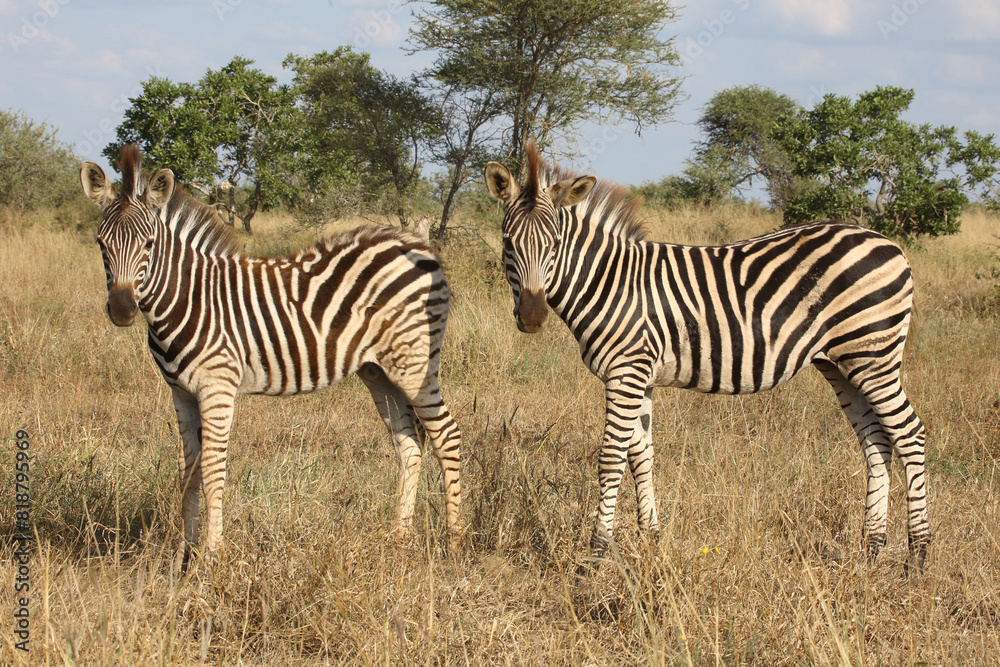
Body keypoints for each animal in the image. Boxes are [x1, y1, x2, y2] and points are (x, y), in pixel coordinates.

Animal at [81, 145, 462, 570]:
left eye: (148, 244)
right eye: (100, 243)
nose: (121, 310)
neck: (187, 298)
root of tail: (417, 245)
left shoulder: (217, 387)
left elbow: (213, 471)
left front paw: (211, 557)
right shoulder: (180, 393)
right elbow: (188, 472)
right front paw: (183, 557)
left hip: (415, 363)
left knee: (447, 435)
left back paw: (454, 542)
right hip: (378, 370)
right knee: (409, 444)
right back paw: (400, 536)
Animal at [484, 143, 930, 571]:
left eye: (555, 245)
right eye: (508, 243)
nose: (532, 317)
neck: (609, 281)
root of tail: (888, 242)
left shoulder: (625, 371)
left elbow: (611, 458)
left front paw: (595, 555)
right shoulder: (641, 375)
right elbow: (642, 456)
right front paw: (651, 541)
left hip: (873, 355)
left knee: (909, 433)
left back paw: (918, 557)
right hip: (841, 362)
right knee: (876, 442)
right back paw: (872, 549)